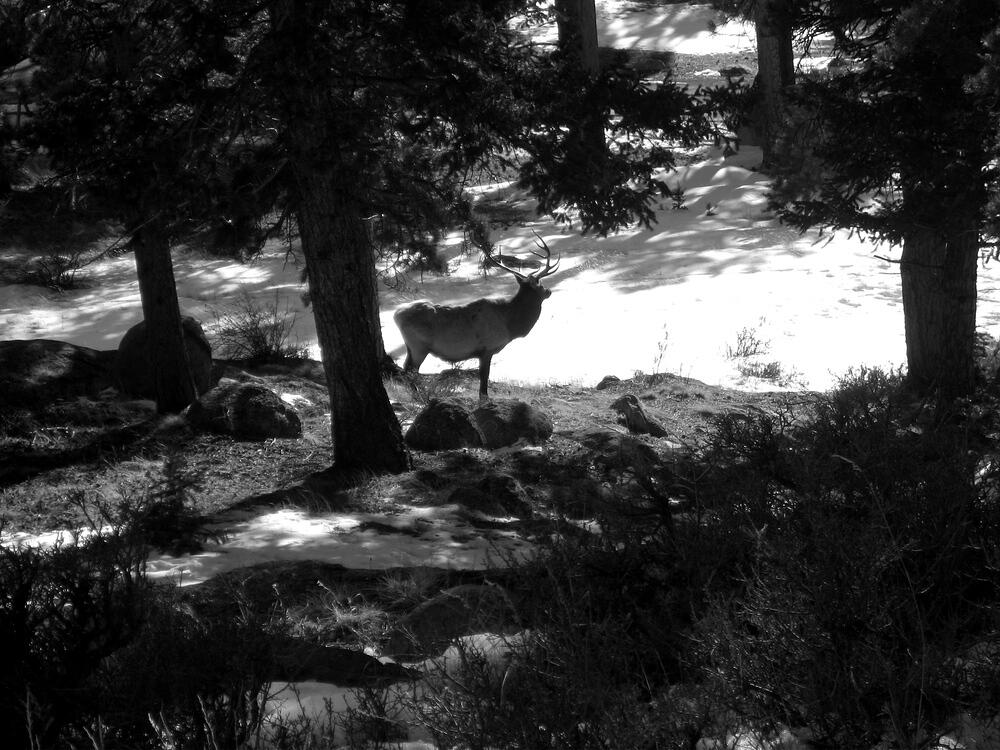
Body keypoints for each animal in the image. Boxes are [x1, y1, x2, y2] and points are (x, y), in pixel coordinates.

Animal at [393, 234, 560, 400]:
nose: (549, 291)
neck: (510, 324)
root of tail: (397, 314)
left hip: (411, 346)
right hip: (419, 346)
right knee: (409, 371)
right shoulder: (487, 349)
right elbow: (484, 379)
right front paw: (485, 398)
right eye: (539, 283)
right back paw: (419, 396)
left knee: (406, 369)